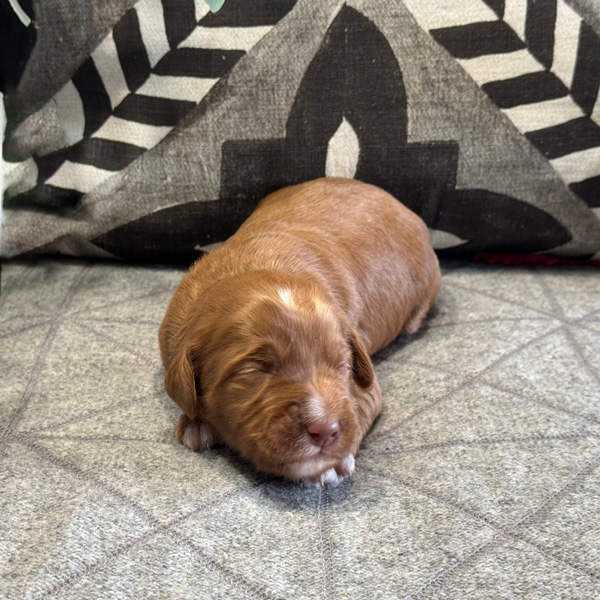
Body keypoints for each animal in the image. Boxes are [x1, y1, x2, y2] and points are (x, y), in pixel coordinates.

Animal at [159, 177, 441, 485]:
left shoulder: (366, 384)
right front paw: (197, 422)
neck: (261, 264)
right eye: (255, 369)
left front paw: (331, 463)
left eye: (341, 364)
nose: (325, 429)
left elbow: (360, 403)